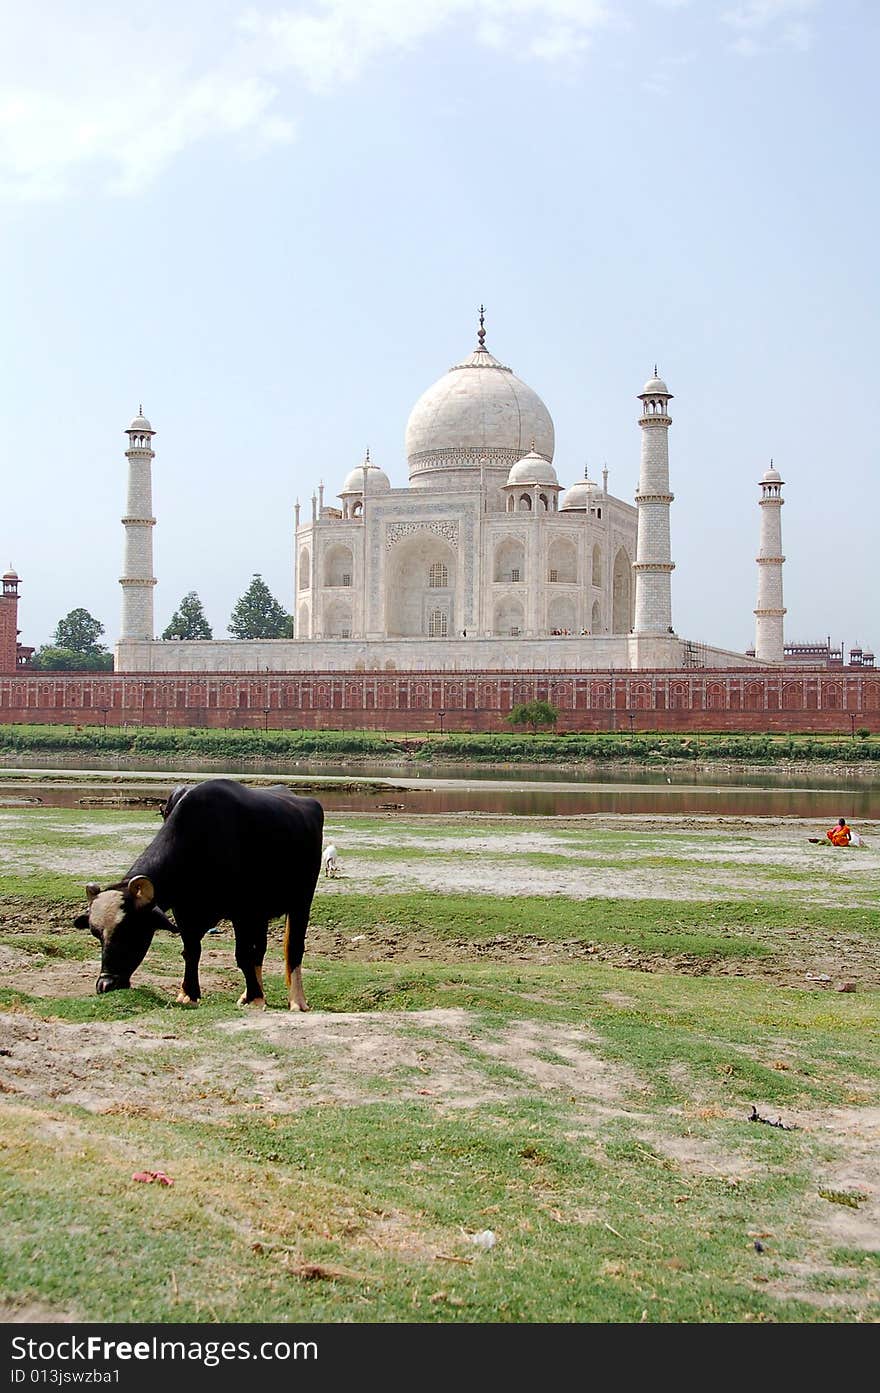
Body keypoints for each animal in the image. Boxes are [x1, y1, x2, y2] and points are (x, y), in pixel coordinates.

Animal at [75, 774, 323, 1014]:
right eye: (96, 934)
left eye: (129, 931)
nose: (106, 984)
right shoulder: (186, 912)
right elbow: (192, 951)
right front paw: (189, 994)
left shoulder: (241, 912)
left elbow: (243, 954)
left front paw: (256, 997)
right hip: (260, 915)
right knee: (260, 950)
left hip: (300, 902)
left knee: (293, 949)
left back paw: (296, 1001)